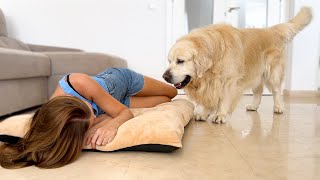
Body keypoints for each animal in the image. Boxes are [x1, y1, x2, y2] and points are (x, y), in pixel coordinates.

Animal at [164, 6, 312, 123]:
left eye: (180, 61)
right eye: (169, 61)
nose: (164, 77)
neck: (215, 54)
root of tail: (272, 30)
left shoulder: (229, 81)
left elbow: (224, 99)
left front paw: (220, 115)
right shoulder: (212, 84)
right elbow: (211, 99)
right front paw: (204, 113)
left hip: (272, 73)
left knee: (276, 91)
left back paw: (279, 107)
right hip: (255, 73)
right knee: (258, 91)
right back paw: (253, 106)